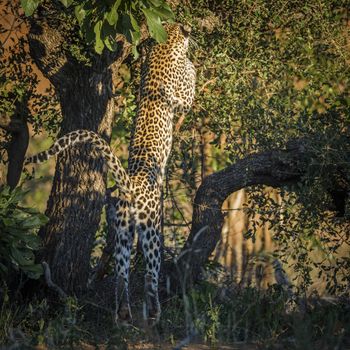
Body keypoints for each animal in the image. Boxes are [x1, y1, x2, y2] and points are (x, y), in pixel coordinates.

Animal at [26, 23, 196, 326]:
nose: (190, 31)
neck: (165, 45)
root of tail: (130, 184)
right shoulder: (183, 98)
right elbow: (189, 88)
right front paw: (194, 65)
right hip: (151, 230)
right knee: (150, 273)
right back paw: (154, 314)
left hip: (122, 231)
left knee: (121, 275)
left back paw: (123, 316)